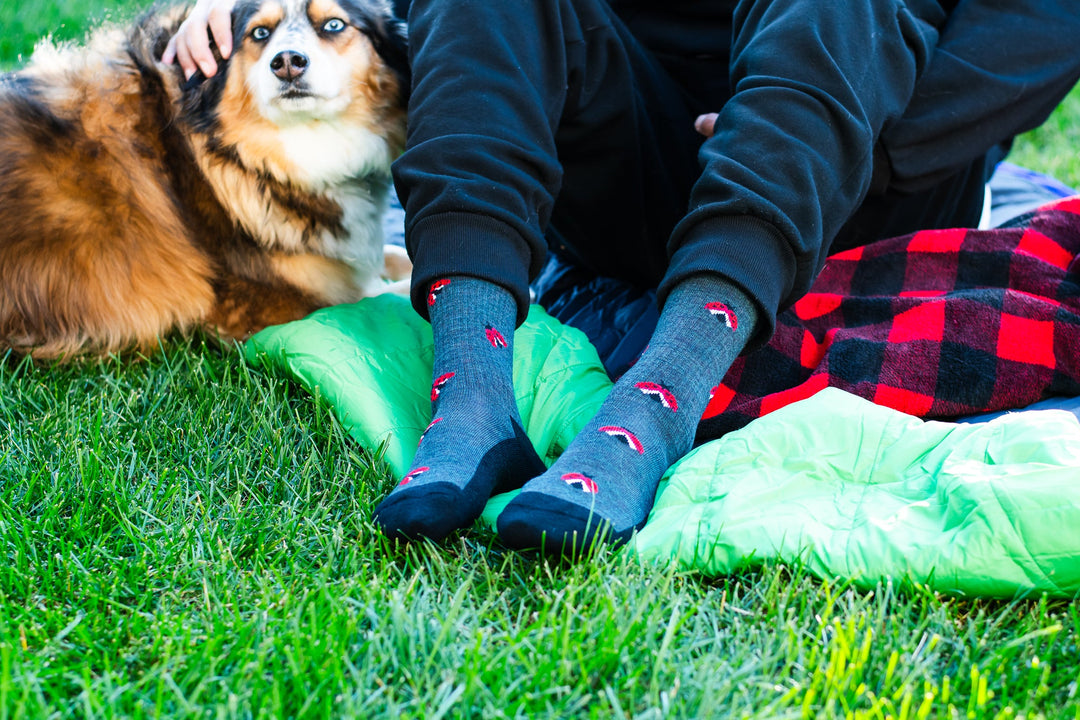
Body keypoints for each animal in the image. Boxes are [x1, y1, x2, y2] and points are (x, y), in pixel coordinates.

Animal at [0, 0, 410, 360]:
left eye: (334, 25)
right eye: (259, 32)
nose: (287, 63)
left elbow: (394, 254)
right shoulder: (276, 305)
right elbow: (389, 295)